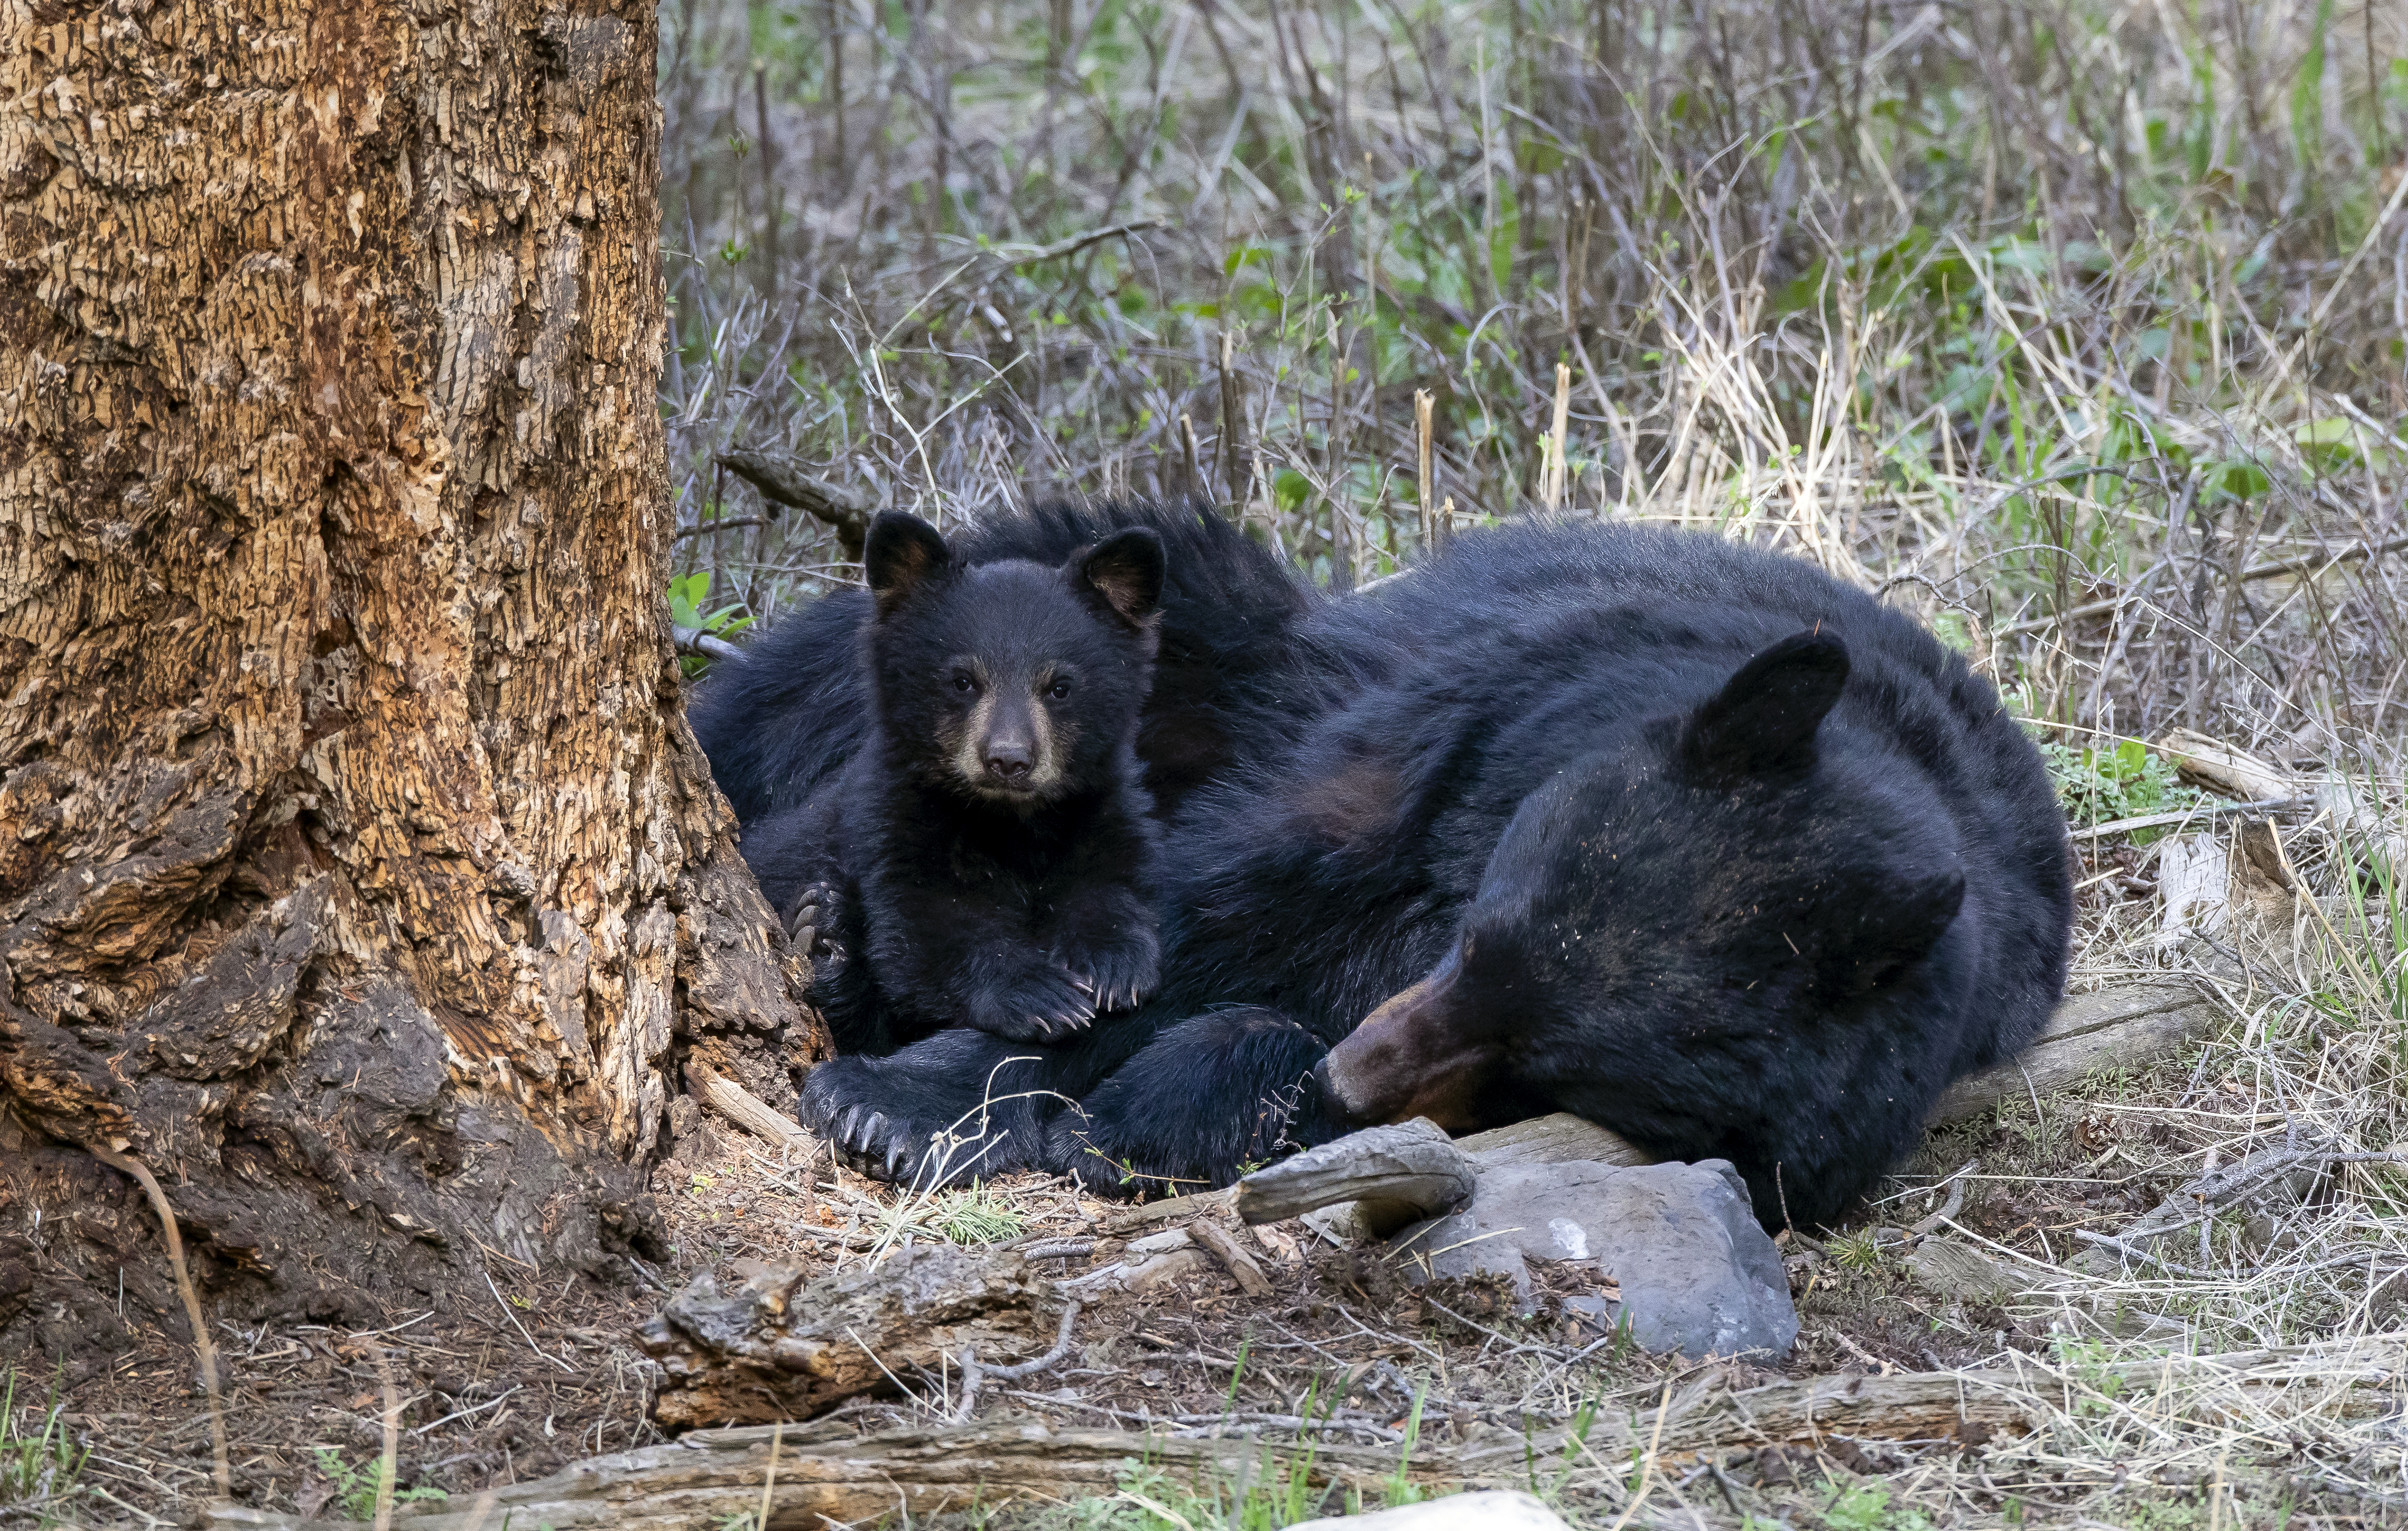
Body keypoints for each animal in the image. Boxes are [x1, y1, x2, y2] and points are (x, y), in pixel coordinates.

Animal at [797, 520, 2074, 1227]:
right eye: (1477, 935)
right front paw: (896, 1103)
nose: (1355, 1072)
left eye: (1552, 1064)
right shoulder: (1465, 732)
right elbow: (1205, 909)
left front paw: (1173, 1110)